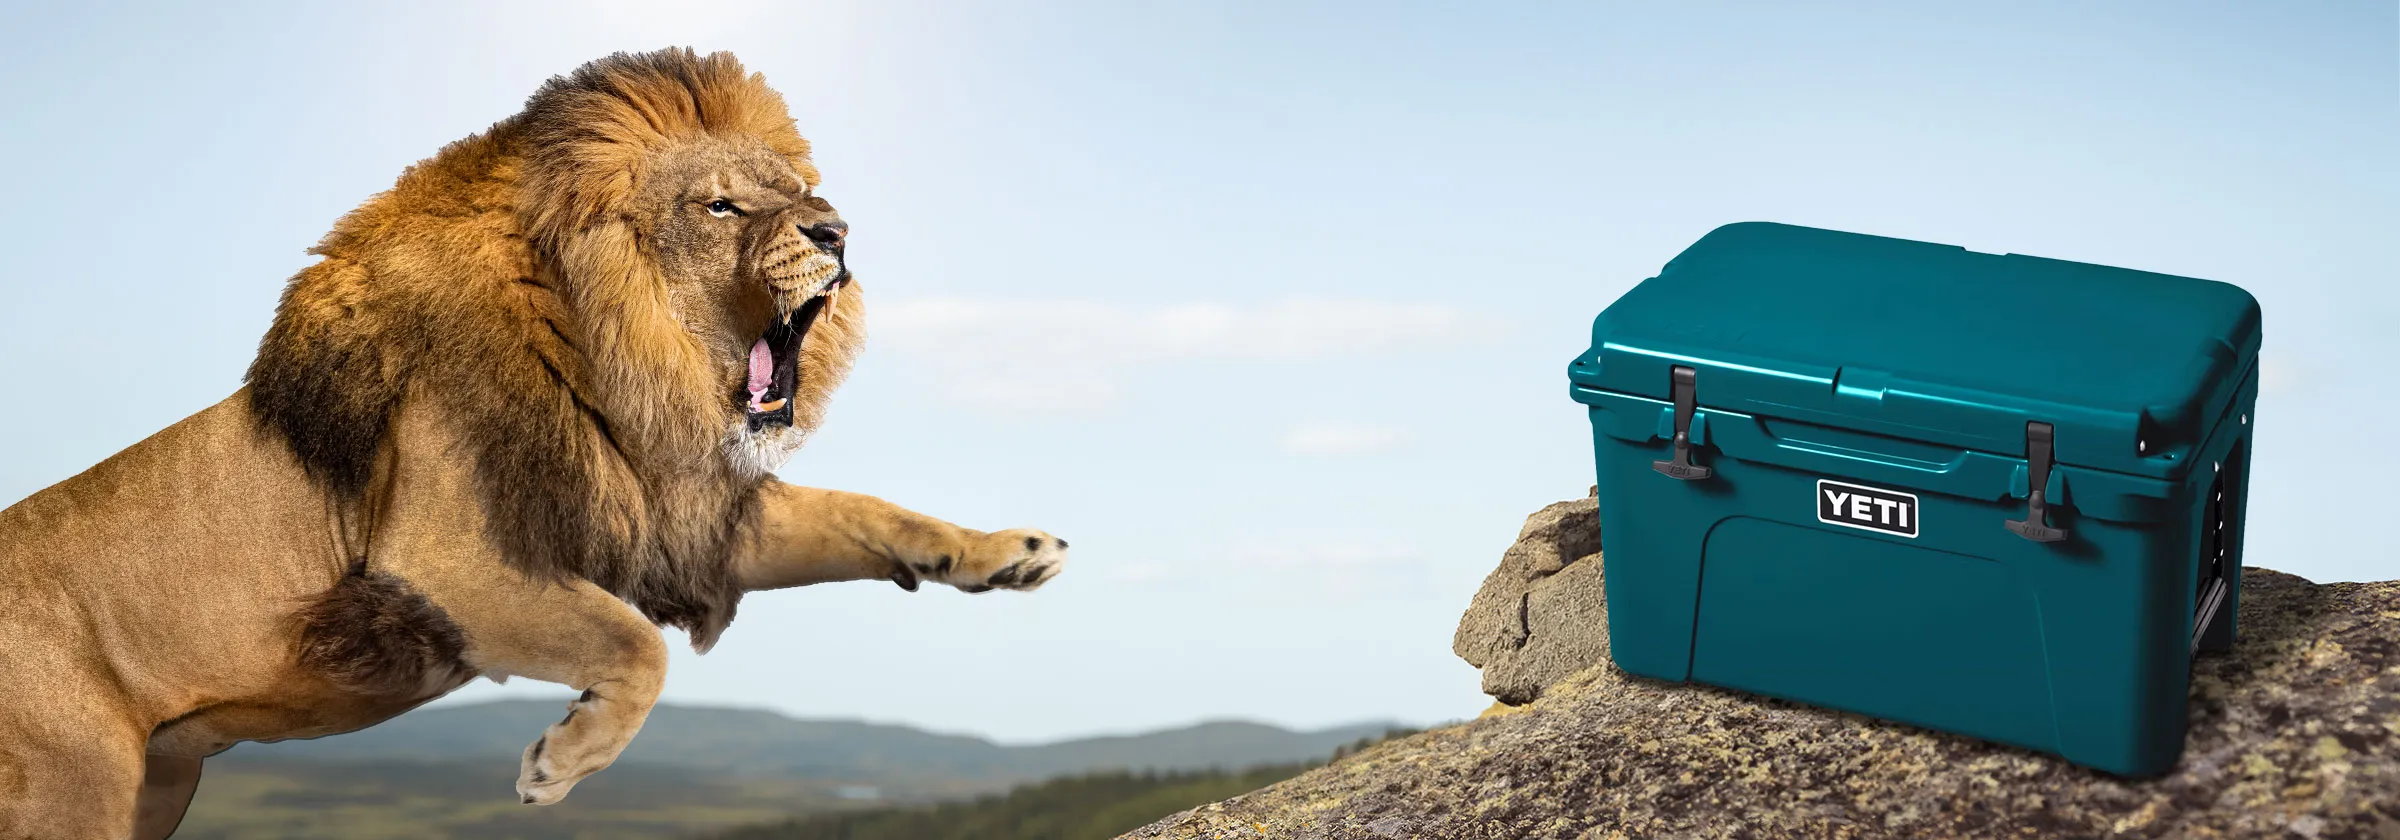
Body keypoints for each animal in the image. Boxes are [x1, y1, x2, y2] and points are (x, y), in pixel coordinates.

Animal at [0, 48, 1068, 839]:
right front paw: (559, 764)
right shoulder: (440, 559)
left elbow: (870, 511)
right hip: (72, 795)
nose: (837, 231)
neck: (635, 371)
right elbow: (638, 644)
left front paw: (1003, 553)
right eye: (722, 205)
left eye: (801, 189)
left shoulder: (671, 521)